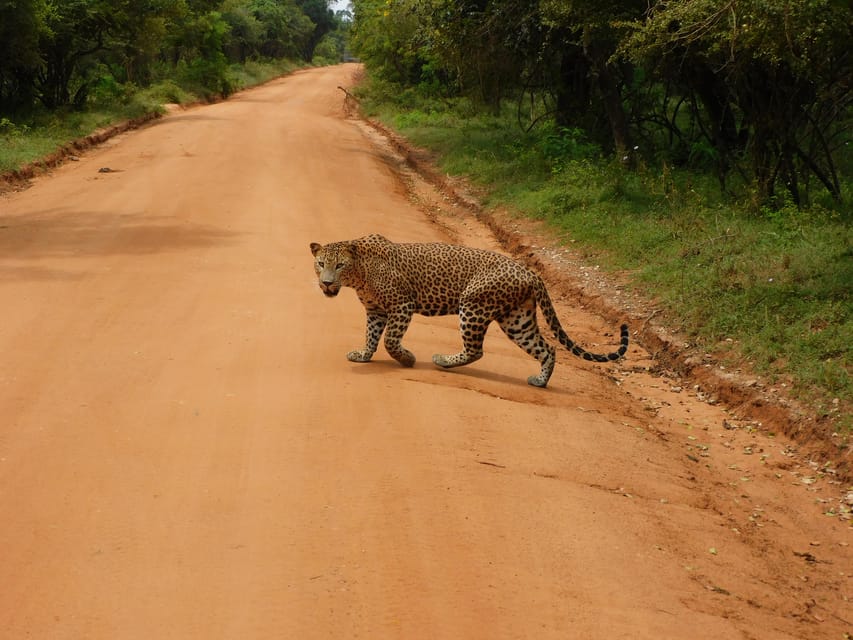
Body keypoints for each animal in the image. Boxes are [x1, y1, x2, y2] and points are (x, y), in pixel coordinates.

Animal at [310, 234, 628, 388]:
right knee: (547, 348)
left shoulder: (402, 304)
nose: (326, 283)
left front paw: (407, 359)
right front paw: (364, 355)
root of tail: (531, 272)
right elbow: (372, 336)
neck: (360, 274)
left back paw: (442, 361)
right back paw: (540, 382)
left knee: (476, 349)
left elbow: (389, 340)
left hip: (474, 305)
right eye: (321, 263)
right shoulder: (376, 311)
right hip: (517, 319)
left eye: (340, 265)